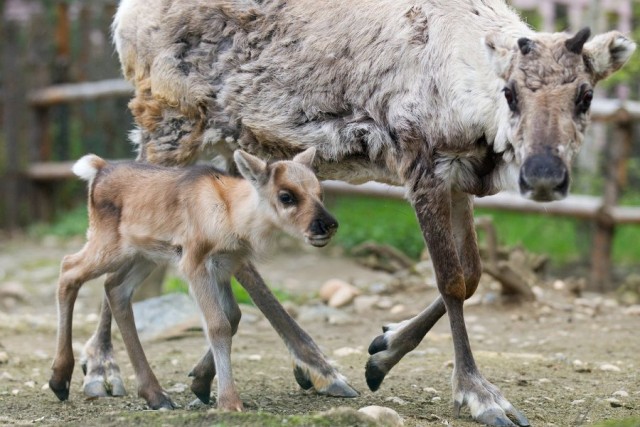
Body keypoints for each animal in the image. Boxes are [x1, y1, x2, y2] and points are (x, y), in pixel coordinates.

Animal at [49, 147, 336, 412]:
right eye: (286, 196)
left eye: (320, 192)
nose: (328, 224)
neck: (232, 215)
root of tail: (99, 168)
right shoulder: (194, 263)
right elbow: (218, 325)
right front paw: (229, 402)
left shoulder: (223, 267)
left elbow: (233, 316)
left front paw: (200, 383)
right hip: (110, 247)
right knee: (68, 268)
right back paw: (60, 380)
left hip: (146, 256)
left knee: (115, 289)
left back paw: (156, 396)